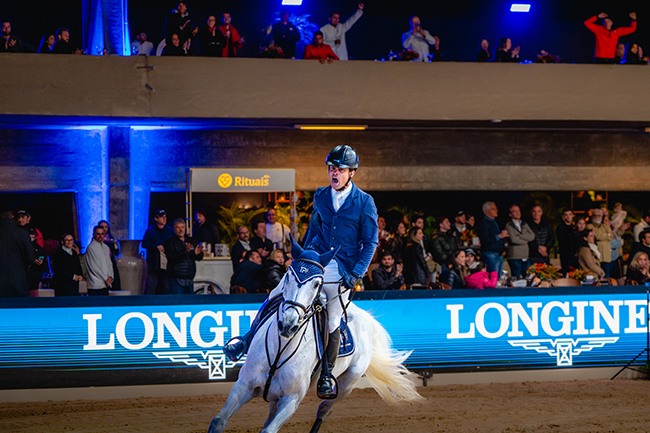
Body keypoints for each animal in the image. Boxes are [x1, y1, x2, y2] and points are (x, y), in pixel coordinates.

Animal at [208, 243, 420, 432]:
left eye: (316, 283)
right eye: (287, 277)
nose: (288, 324)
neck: (280, 349)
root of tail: (362, 316)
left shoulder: (291, 400)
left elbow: (269, 430)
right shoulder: (243, 386)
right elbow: (218, 421)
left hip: (346, 385)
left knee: (324, 410)